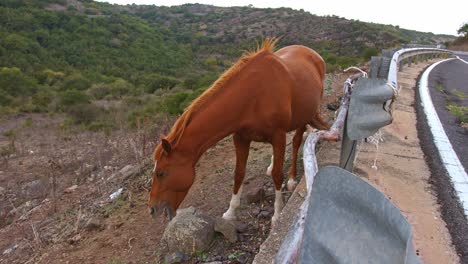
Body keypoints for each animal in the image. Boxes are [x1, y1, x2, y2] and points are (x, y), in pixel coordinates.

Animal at [148, 37, 328, 223]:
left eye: (161, 173)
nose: (152, 209)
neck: (254, 96)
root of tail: (314, 54)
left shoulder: (277, 135)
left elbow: (278, 175)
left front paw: (277, 214)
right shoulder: (241, 138)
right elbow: (239, 173)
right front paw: (230, 211)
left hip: (304, 117)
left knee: (296, 142)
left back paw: (292, 178)